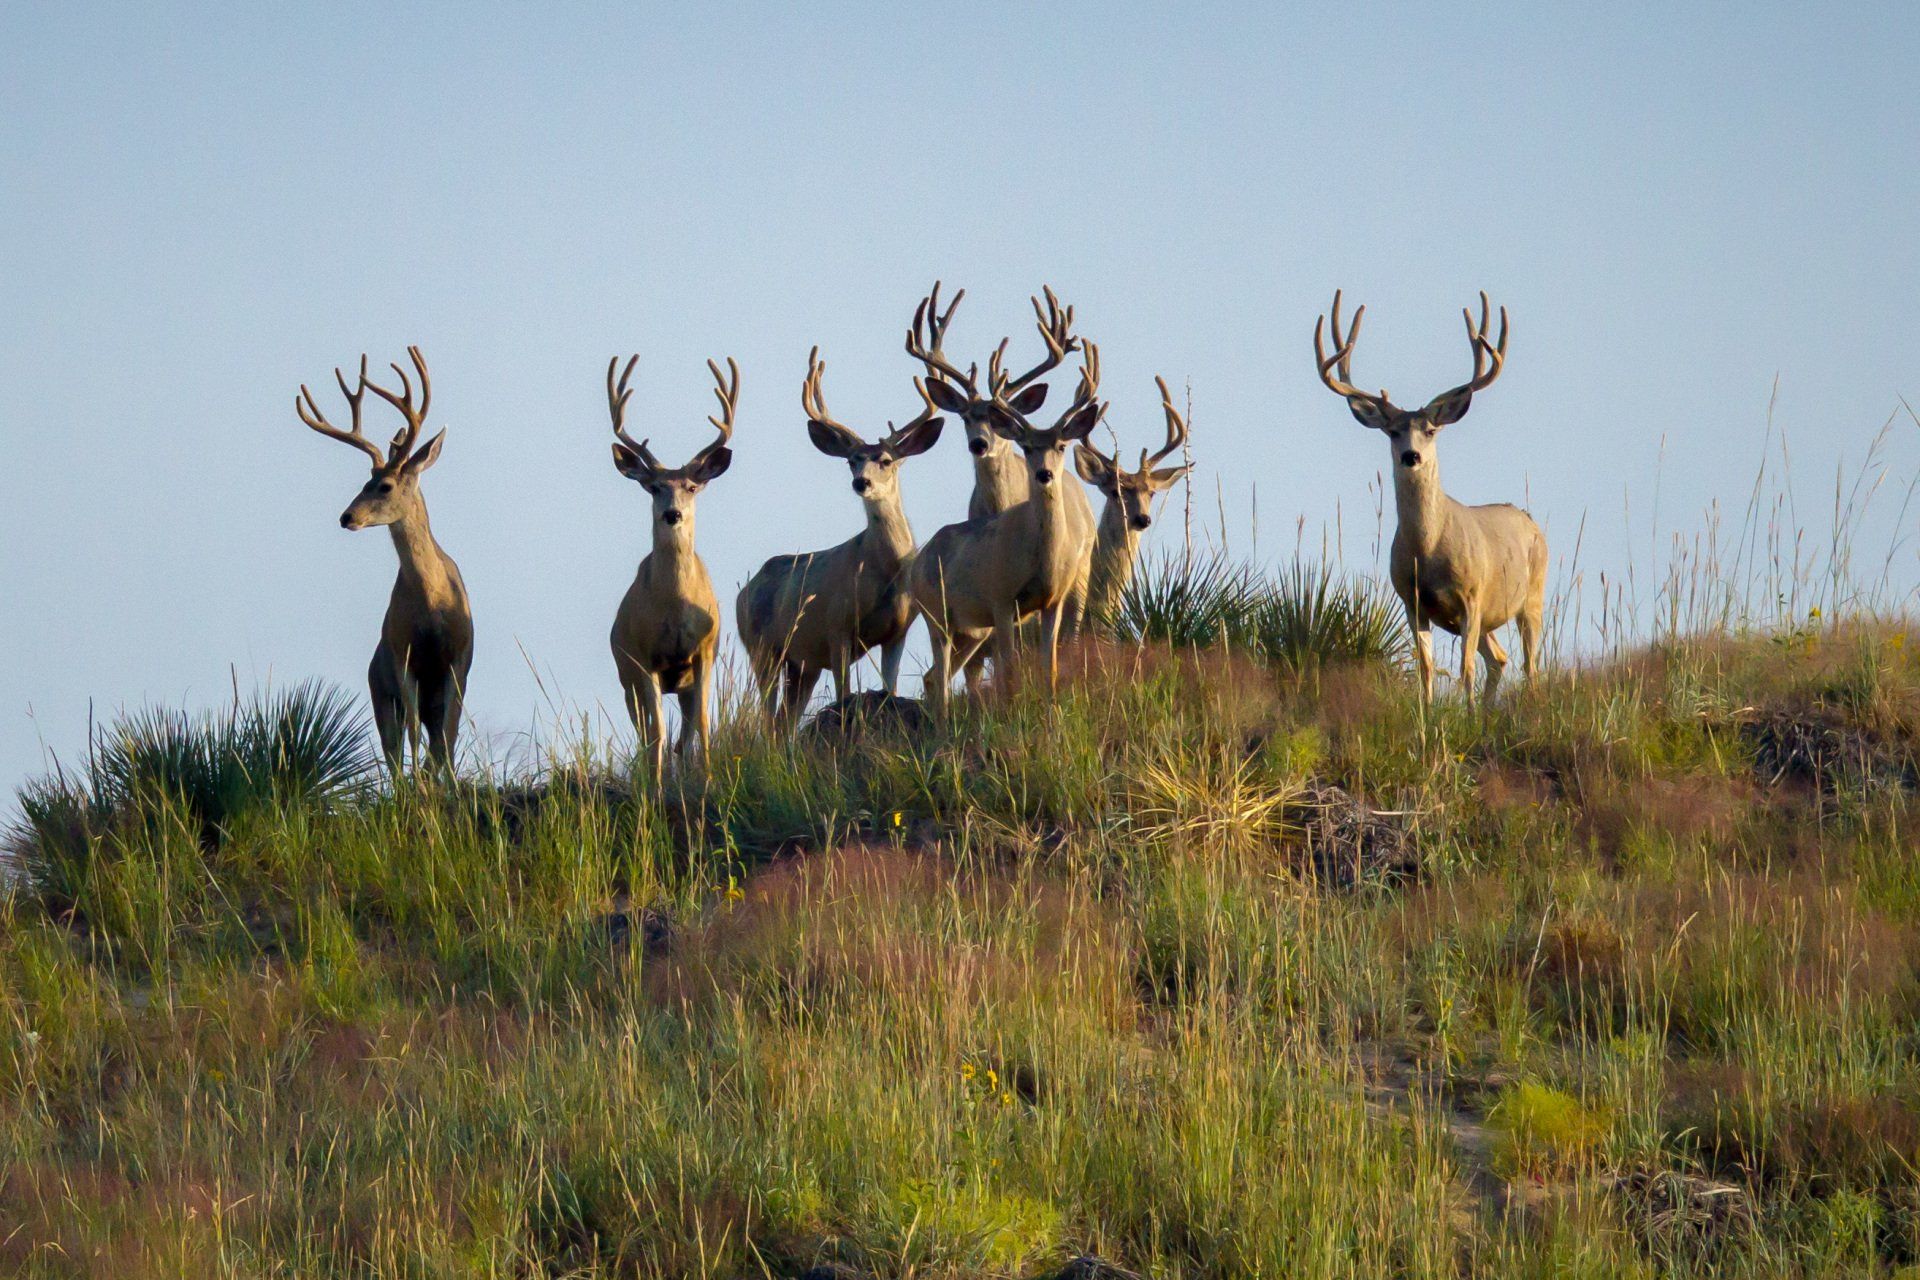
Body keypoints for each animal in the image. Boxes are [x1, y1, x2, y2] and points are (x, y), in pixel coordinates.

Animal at [295, 346, 473, 775]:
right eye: (364, 482)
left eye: (385, 485)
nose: (346, 517)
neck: (432, 602)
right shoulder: (401, 652)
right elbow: (412, 736)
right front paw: (420, 783)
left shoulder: (459, 657)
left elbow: (449, 735)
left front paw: (445, 782)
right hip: (379, 688)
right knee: (394, 746)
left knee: (435, 736)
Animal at [605, 353, 736, 774]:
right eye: (654, 487)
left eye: (691, 487)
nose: (672, 514)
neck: (675, 604)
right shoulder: (644, 657)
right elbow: (657, 733)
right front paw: (657, 783)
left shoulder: (705, 651)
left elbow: (704, 724)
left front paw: (710, 778)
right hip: (625, 674)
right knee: (647, 732)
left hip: (681, 683)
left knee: (684, 732)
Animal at [737, 348, 945, 724]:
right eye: (851, 460)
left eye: (886, 460)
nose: (861, 482)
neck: (885, 573)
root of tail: (743, 592)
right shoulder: (836, 628)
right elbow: (844, 693)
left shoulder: (898, 630)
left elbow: (889, 686)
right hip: (762, 648)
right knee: (769, 716)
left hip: (801, 664)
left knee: (784, 719)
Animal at [906, 281, 1099, 663]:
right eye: (965, 417)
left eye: (996, 419)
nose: (979, 444)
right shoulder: (1001, 602)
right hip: (943, 616)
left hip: (1082, 573)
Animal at [1313, 290, 1547, 706]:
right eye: (1392, 431)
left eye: (1431, 430)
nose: (1411, 456)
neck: (1428, 550)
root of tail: (1530, 520)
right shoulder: (1412, 601)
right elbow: (1425, 667)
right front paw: (1428, 713)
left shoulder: (1472, 596)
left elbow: (1464, 668)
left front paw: (1465, 713)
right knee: (1500, 658)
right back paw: (1488, 710)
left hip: (1532, 594)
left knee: (1529, 664)